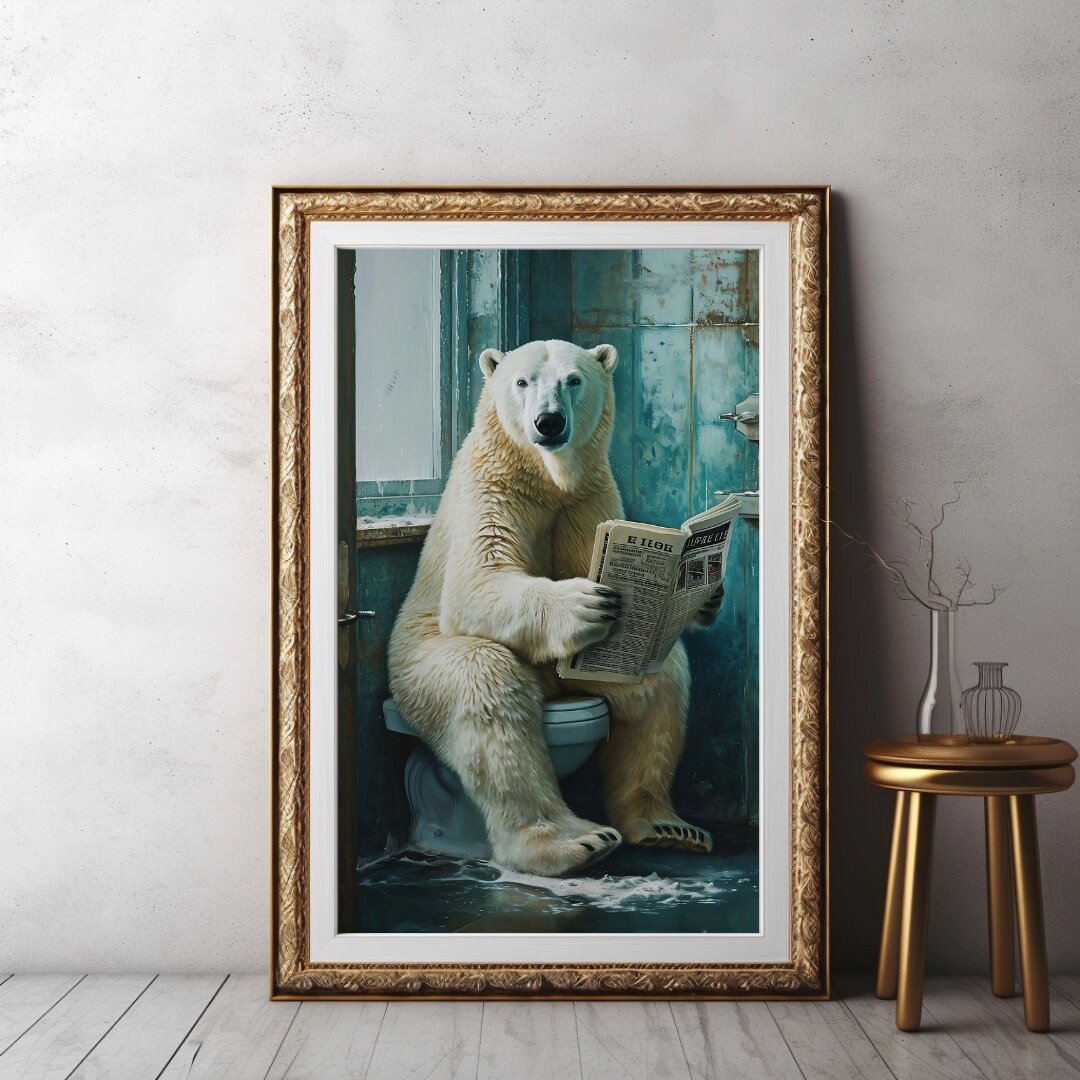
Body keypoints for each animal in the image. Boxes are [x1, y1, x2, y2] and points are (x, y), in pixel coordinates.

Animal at [387, 339, 714, 877]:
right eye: (523, 381)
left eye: (573, 380)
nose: (549, 422)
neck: (543, 476)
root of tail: (553, 686)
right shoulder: (491, 487)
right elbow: (478, 579)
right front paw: (586, 602)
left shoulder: (586, 497)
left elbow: (591, 555)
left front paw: (703, 595)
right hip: (420, 666)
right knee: (485, 686)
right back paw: (571, 841)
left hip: (586, 671)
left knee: (658, 682)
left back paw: (664, 826)